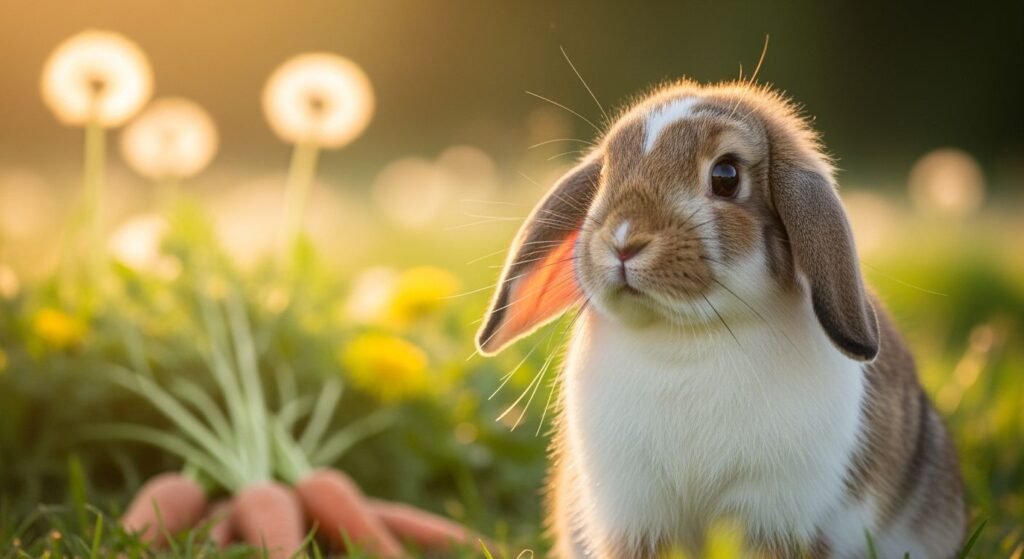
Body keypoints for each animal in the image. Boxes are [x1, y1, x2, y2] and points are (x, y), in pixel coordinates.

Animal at [476, 81, 966, 558]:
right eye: (603, 176)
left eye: (726, 176)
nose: (623, 241)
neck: (685, 336)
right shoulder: (635, 515)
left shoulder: (774, 512)